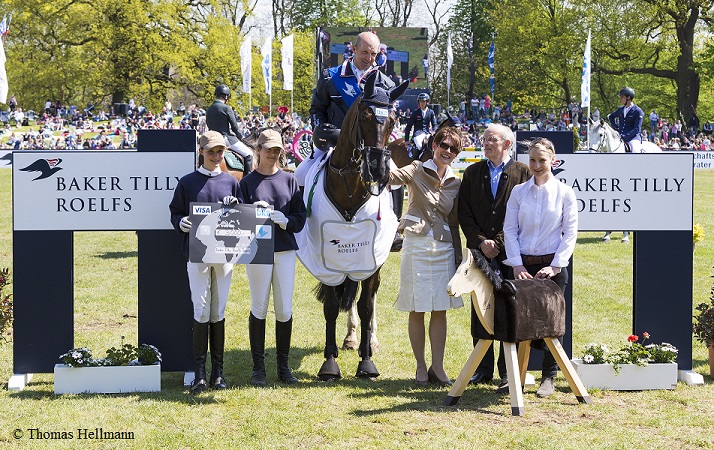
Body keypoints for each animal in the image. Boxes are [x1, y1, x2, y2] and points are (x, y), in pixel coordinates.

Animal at [312, 73, 406, 380]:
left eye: (393, 118)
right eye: (365, 114)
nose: (377, 168)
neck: (350, 188)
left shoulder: (373, 257)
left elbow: (366, 305)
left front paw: (366, 361)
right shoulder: (327, 260)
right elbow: (332, 307)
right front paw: (330, 362)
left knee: (369, 298)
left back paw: (369, 340)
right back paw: (351, 337)